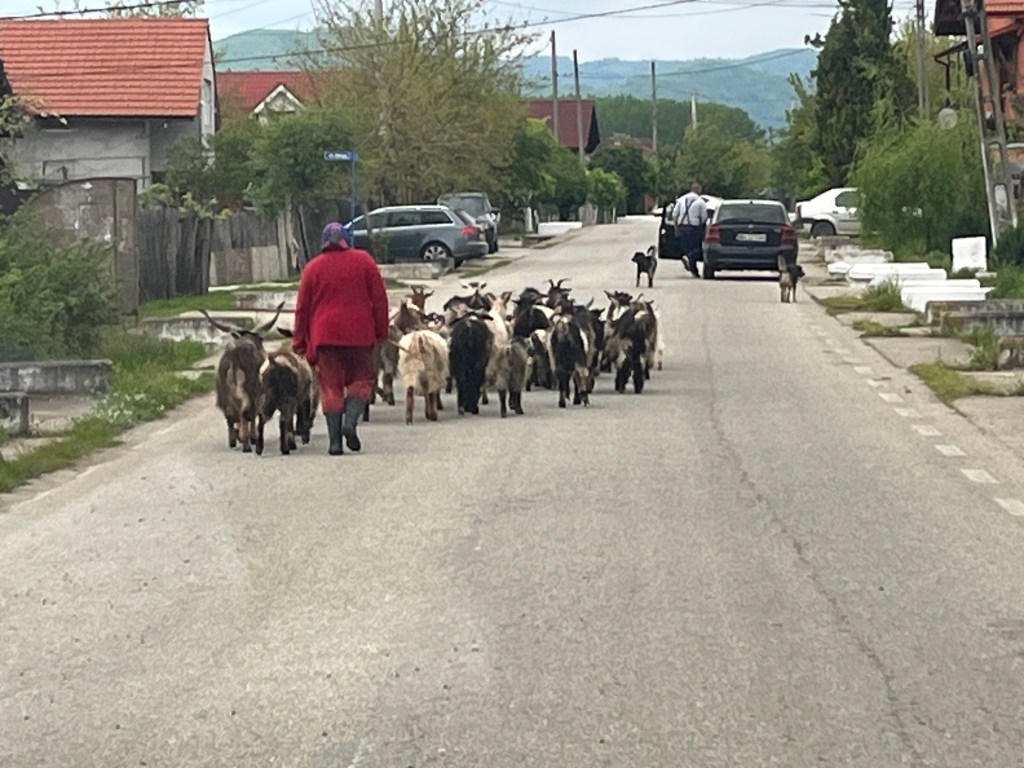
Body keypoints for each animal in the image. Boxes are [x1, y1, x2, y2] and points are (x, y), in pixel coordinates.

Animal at [200, 304, 284, 453]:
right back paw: (246, 442)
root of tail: (234, 354)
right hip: (249, 390)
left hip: (224, 392)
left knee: (230, 414)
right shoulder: (258, 394)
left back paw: (234, 440)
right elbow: (253, 413)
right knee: (245, 413)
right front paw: (252, 437)